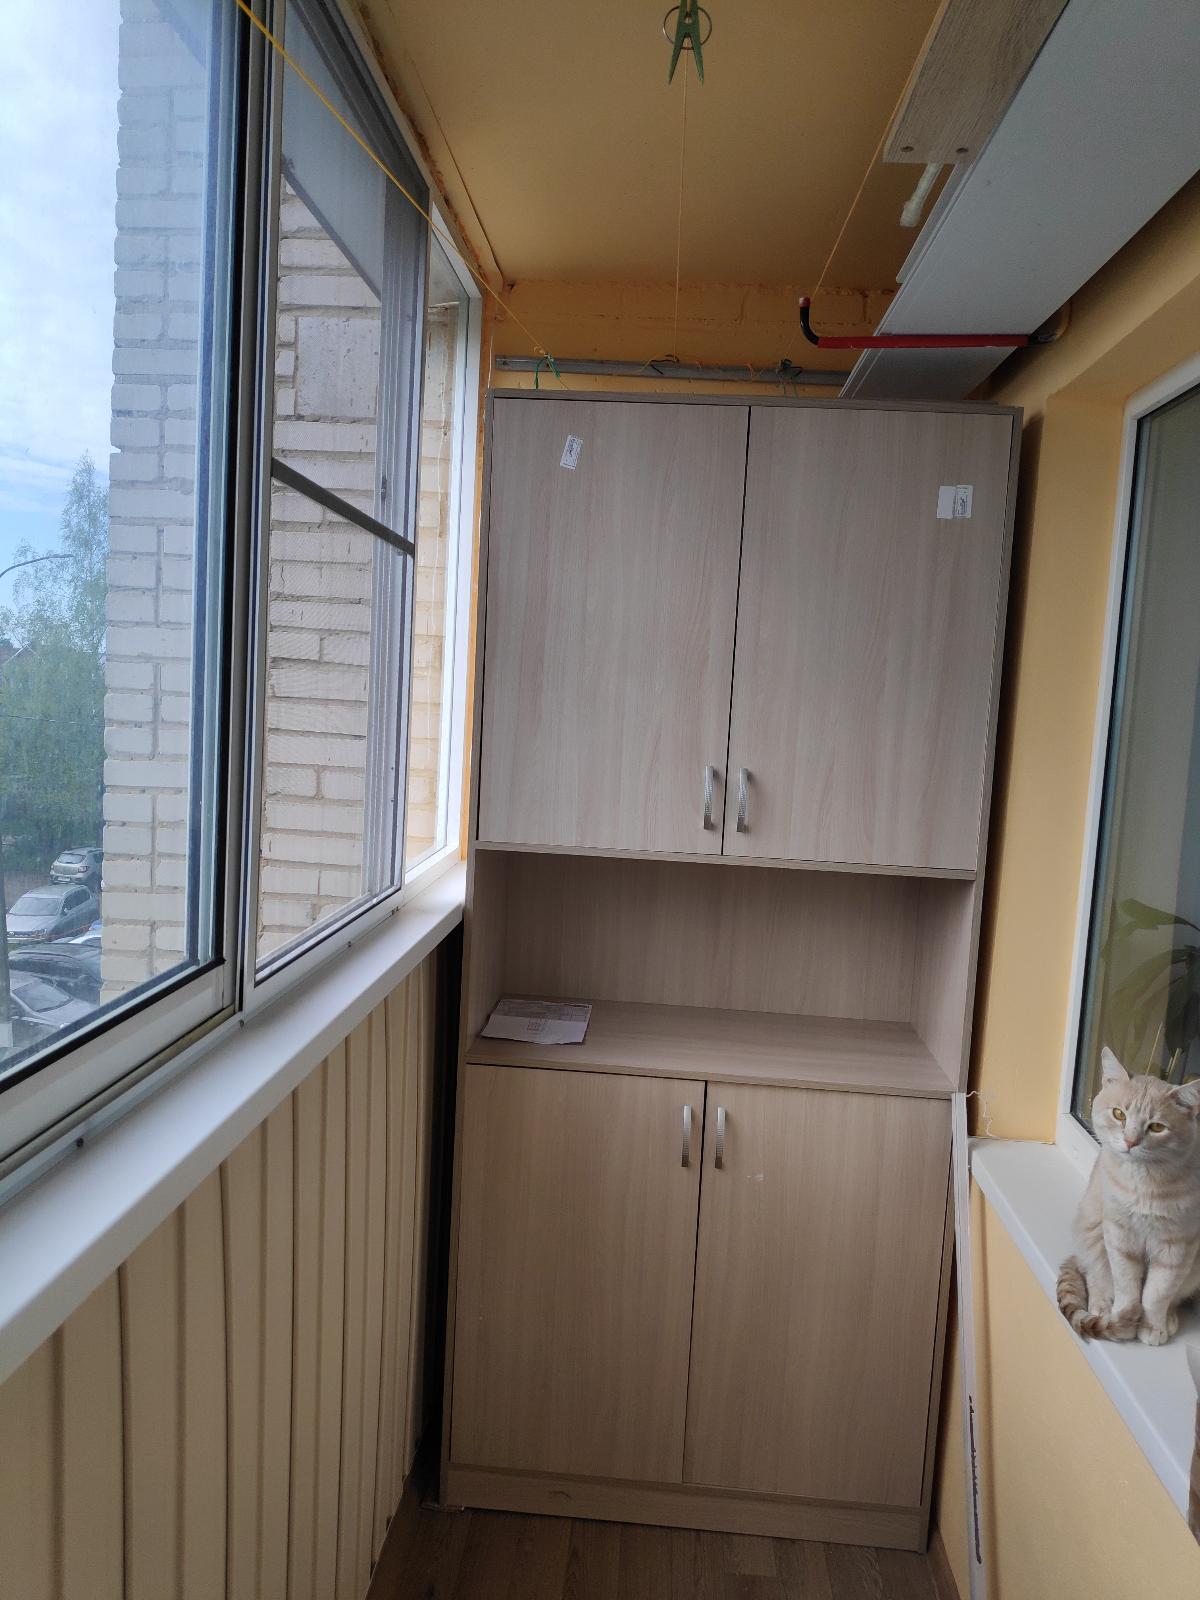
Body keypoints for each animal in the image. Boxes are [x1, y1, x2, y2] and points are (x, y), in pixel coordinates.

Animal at [1057, 1047, 1200, 1345]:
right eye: (1119, 1114)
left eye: (1157, 1127)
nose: (1131, 1142)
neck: (1145, 1183)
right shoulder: (1119, 1234)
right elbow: (1126, 1284)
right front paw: (1123, 1318)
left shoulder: (1177, 1245)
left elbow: (1158, 1293)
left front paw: (1153, 1325)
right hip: (1091, 1232)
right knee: (1095, 1276)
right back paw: (1102, 1307)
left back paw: (1168, 1317)